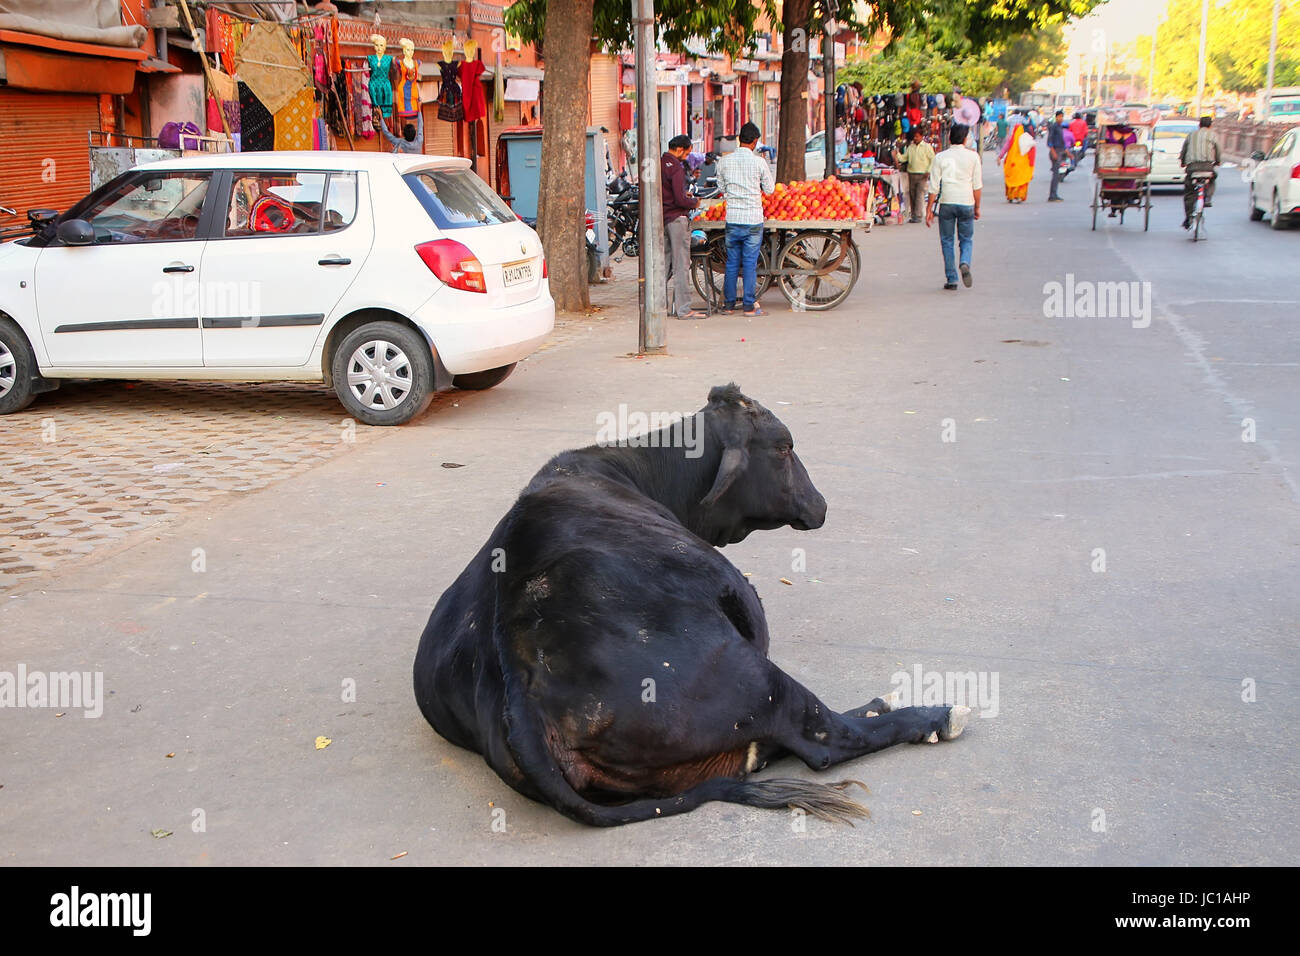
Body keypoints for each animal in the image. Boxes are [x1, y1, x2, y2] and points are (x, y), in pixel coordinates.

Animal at [410, 385, 972, 827]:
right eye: (784, 447)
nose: (822, 504)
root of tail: (518, 680)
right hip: (754, 676)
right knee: (825, 738)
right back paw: (935, 715)